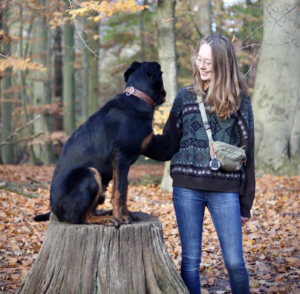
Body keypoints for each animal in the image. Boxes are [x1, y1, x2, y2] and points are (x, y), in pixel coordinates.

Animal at [35, 61, 168, 225]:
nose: (166, 94)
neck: (138, 98)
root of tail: (54, 210)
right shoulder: (121, 156)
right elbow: (119, 192)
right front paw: (120, 217)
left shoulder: (123, 163)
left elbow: (123, 189)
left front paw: (127, 214)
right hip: (90, 173)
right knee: (82, 218)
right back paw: (107, 219)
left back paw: (107, 214)